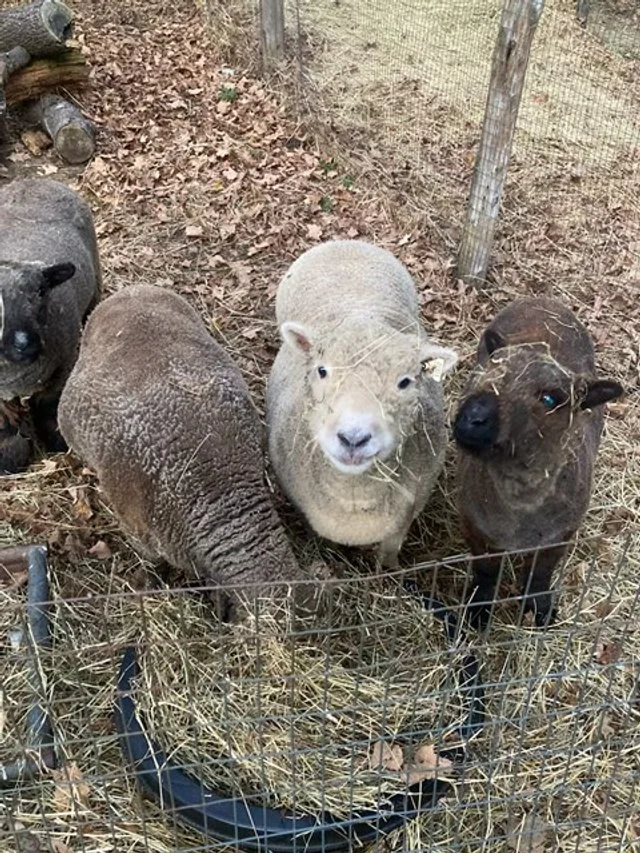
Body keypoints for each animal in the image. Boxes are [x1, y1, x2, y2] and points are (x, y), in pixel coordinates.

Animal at [0, 178, 101, 465]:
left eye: (41, 291)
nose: (24, 343)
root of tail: (33, 181)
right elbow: (4, 423)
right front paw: (10, 457)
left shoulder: (64, 362)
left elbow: (47, 405)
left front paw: (56, 440)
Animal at [266, 240, 458, 567]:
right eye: (321, 370)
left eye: (405, 381)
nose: (353, 438)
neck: (353, 496)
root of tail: (346, 243)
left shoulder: (406, 515)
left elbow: (390, 551)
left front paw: (389, 572)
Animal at [453, 296, 624, 628]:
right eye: (491, 371)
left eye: (550, 399)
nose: (473, 415)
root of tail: (544, 299)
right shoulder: (475, 527)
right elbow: (486, 573)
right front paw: (479, 612)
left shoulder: (559, 536)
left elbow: (540, 574)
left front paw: (541, 611)